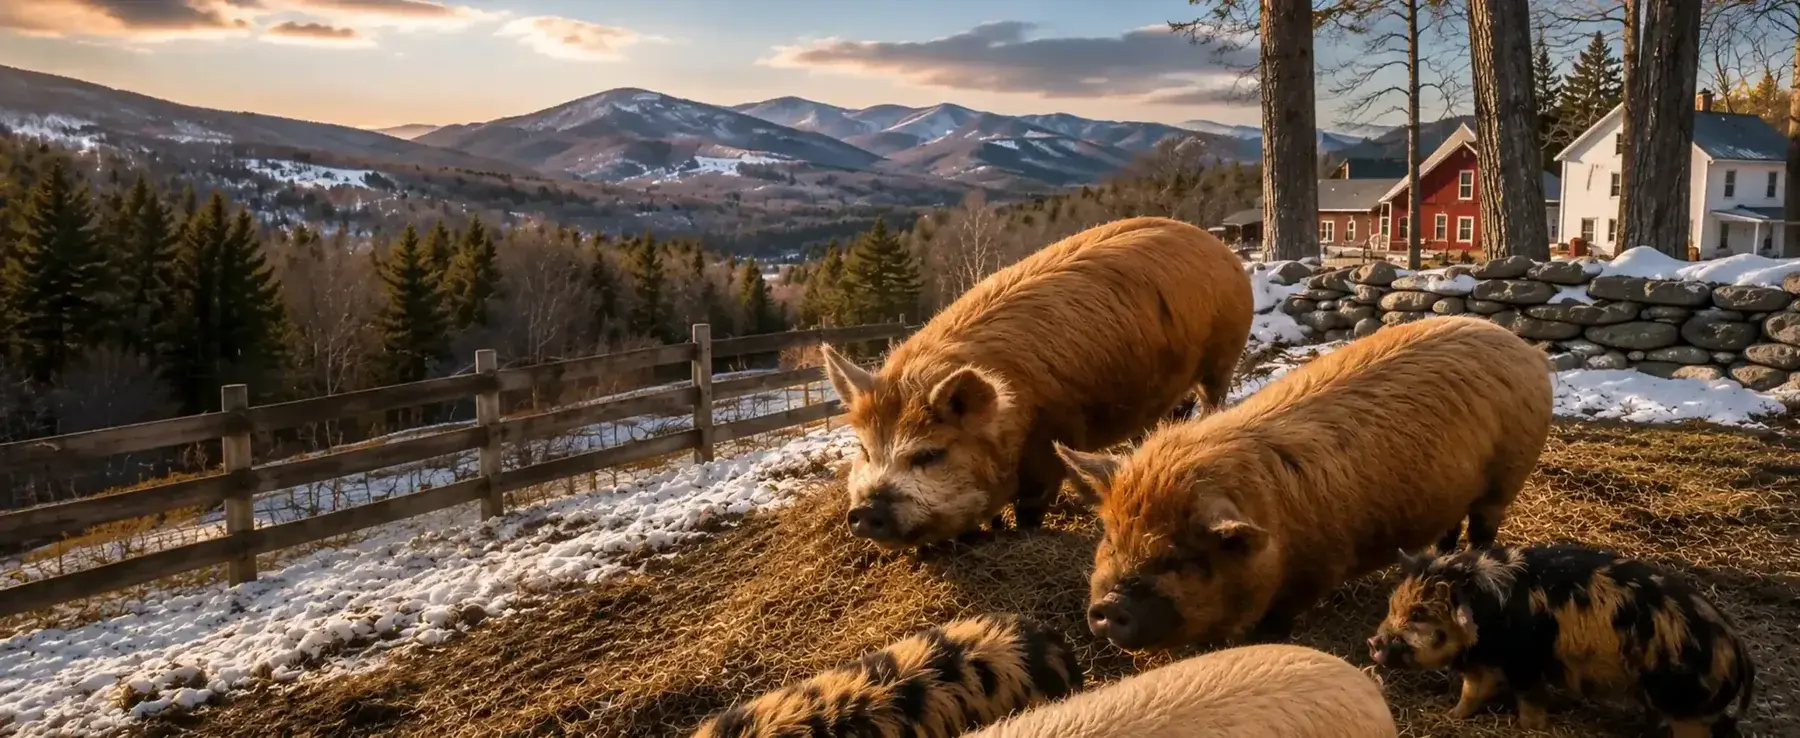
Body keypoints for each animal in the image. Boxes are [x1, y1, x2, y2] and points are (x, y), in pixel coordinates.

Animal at [820, 216, 1254, 549]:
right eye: (865, 450)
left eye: (929, 454)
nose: (863, 511)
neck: (1010, 418)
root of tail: (1217, 244)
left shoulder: (1050, 442)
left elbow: (1031, 508)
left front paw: (1019, 535)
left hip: (1224, 355)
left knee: (1212, 398)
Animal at [1056, 316, 1553, 652]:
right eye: (1110, 537)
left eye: (1177, 557)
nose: (1108, 606)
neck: (1274, 527)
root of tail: (1525, 347)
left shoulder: (1322, 565)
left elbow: (1279, 618)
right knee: (1449, 528)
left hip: (1506, 477)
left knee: (1484, 529)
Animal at [1368, 543, 1756, 737]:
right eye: (1394, 604)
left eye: (1419, 614)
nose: (1374, 643)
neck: (1488, 611)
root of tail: (1736, 644)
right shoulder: (1486, 662)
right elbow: (1472, 692)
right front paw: (1453, 713)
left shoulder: (1523, 663)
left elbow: (1524, 700)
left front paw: (1529, 727)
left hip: (1689, 706)